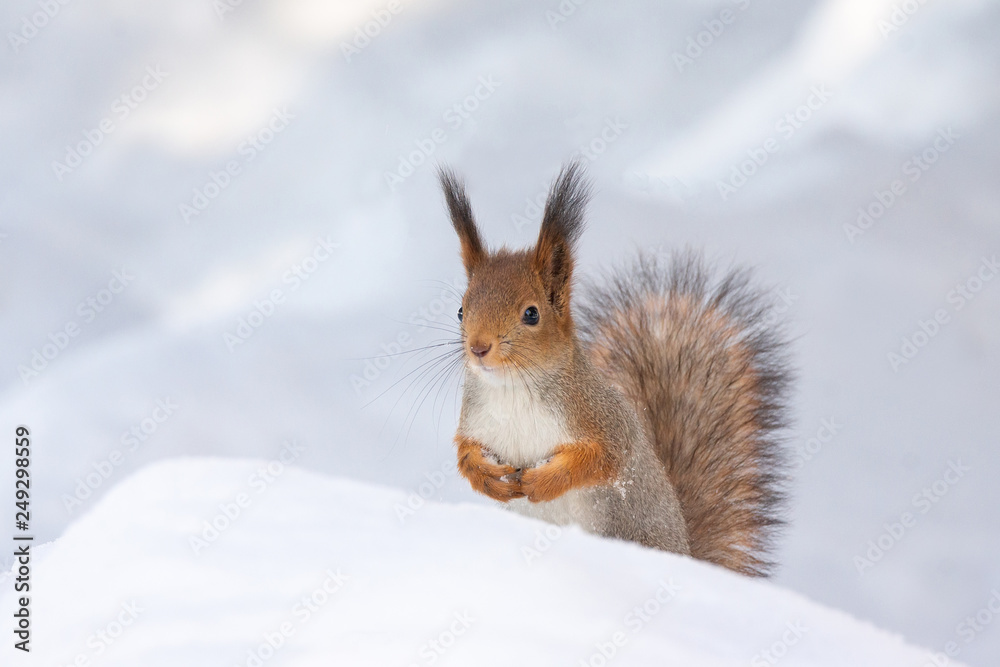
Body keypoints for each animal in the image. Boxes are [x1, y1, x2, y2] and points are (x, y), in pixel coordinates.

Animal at [438, 163, 791, 577]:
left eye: (531, 314)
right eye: (461, 310)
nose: (479, 348)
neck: (513, 389)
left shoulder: (604, 420)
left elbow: (603, 458)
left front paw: (544, 481)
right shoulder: (475, 421)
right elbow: (465, 454)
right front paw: (488, 478)